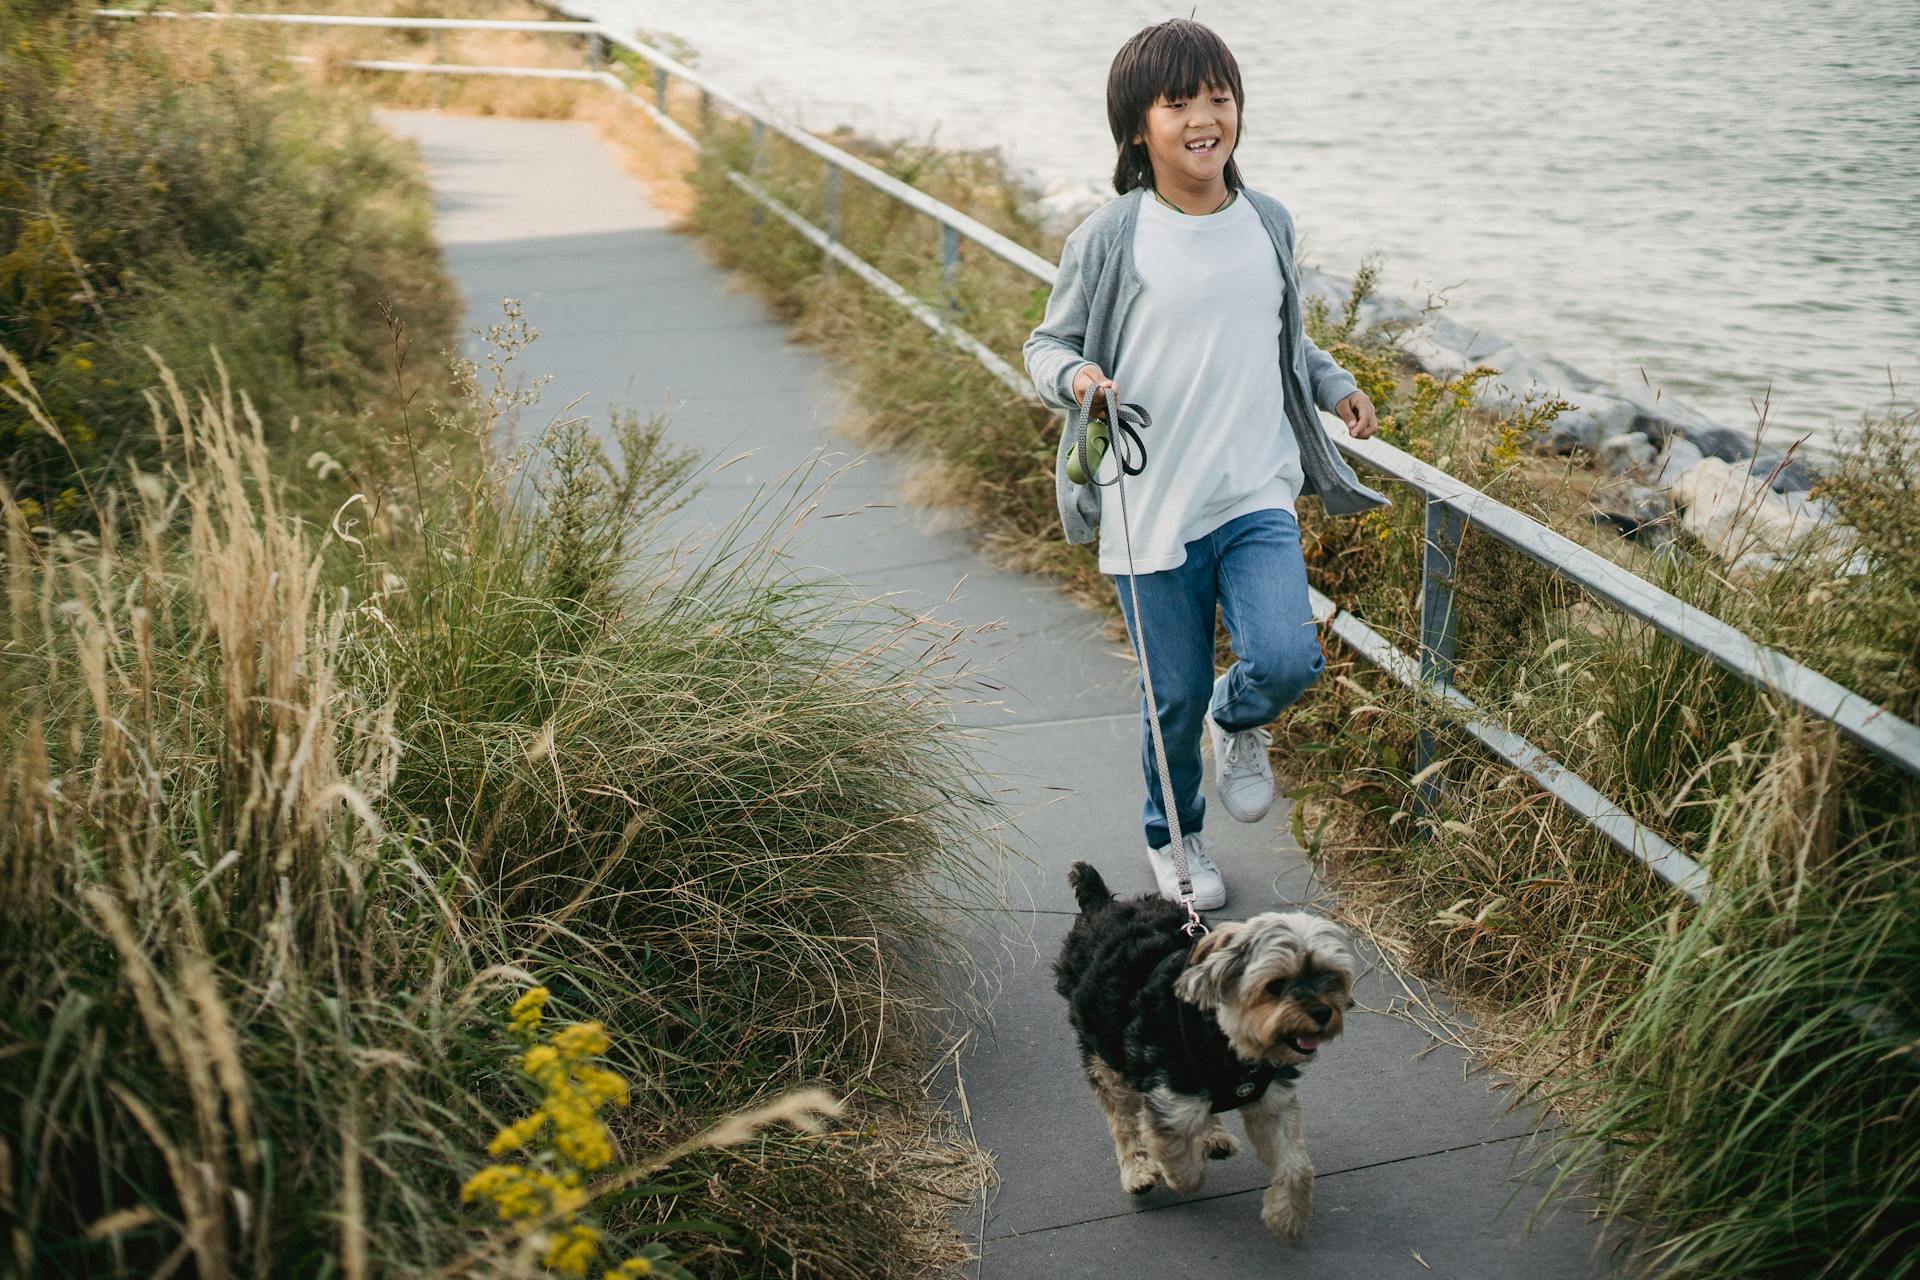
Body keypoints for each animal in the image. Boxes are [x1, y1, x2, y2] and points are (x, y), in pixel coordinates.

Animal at [1059, 859, 1359, 1243]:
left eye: (1330, 977)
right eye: (1275, 985)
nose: (1323, 1012)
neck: (1225, 1038)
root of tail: (1101, 905)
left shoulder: (1272, 1103)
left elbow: (1296, 1165)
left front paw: (1286, 1218)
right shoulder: (1170, 1100)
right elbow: (1176, 1155)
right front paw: (1179, 1176)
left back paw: (1213, 1136)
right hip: (1102, 1046)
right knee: (1122, 1118)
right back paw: (1138, 1168)